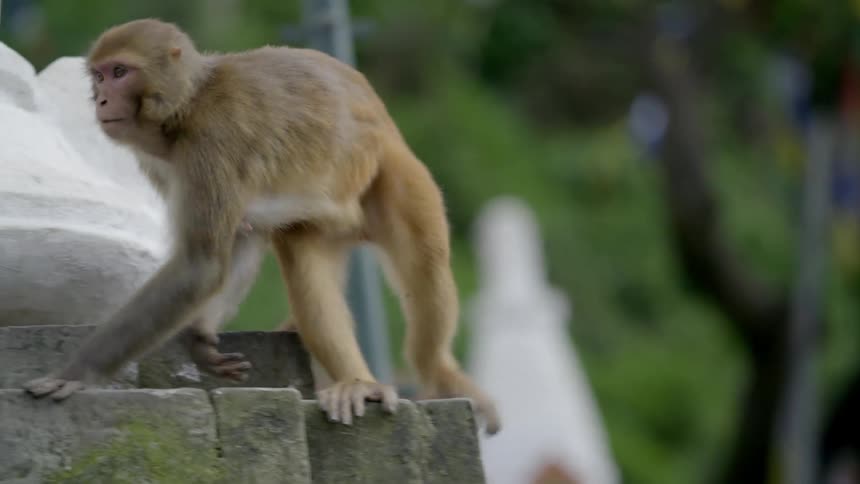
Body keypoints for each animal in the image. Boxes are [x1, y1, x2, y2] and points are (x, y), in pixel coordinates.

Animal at [22, 19, 500, 435]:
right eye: (99, 75)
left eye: (120, 72)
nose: (100, 100)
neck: (184, 109)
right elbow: (235, 237)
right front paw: (201, 339)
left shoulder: (211, 144)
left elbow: (200, 264)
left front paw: (79, 372)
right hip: (320, 223)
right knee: (308, 271)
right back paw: (354, 381)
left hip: (395, 173)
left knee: (425, 268)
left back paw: (427, 372)